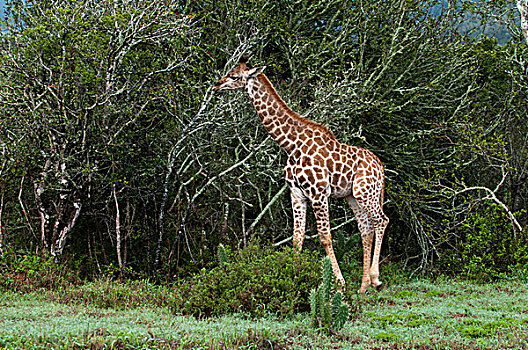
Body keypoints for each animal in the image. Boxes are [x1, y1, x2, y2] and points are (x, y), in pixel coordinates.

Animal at [212, 56, 390, 292]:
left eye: (233, 76)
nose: (216, 85)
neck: (291, 145)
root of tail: (380, 166)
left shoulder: (318, 193)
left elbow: (325, 237)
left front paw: (339, 283)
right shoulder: (296, 194)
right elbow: (297, 237)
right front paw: (294, 278)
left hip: (366, 192)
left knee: (381, 220)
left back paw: (375, 278)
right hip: (353, 196)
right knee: (365, 229)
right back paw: (363, 287)